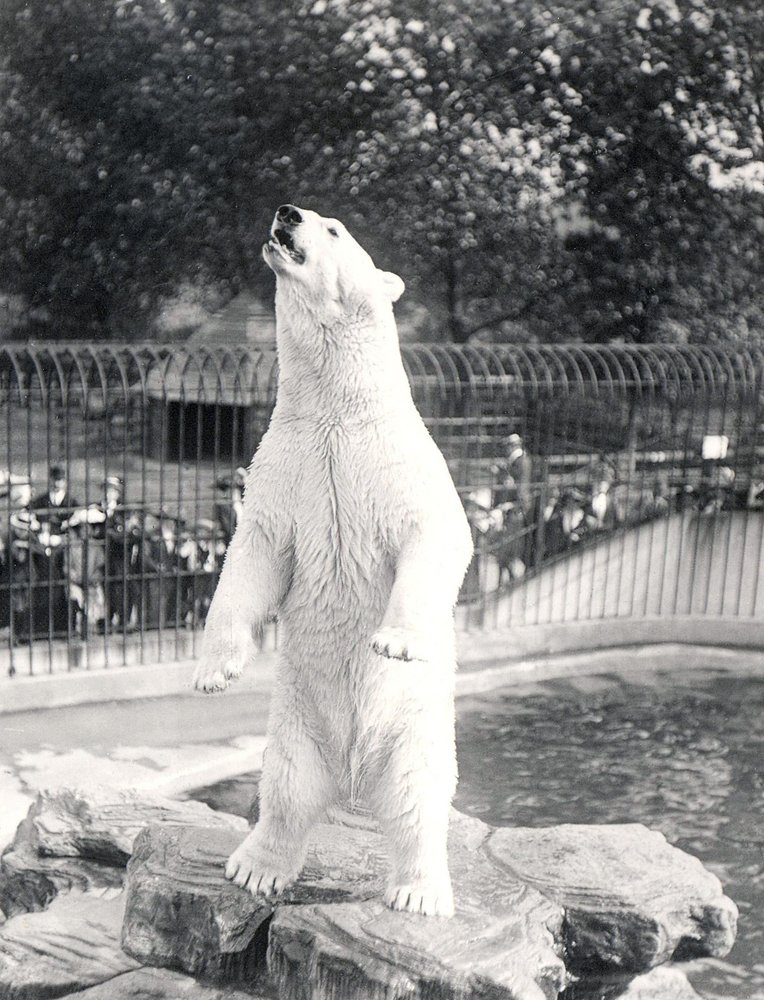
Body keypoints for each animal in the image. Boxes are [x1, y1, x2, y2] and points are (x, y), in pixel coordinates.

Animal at [193, 204, 473, 917]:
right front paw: (213, 674)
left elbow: (438, 536)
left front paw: (396, 641)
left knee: (418, 797)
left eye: (335, 229)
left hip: (417, 731)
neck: (336, 413)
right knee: (287, 788)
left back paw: (419, 892)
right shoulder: (286, 466)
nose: (286, 212)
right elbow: (251, 555)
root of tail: (354, 782)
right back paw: (255, 868)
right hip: (296, 723)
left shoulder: (396, 465)